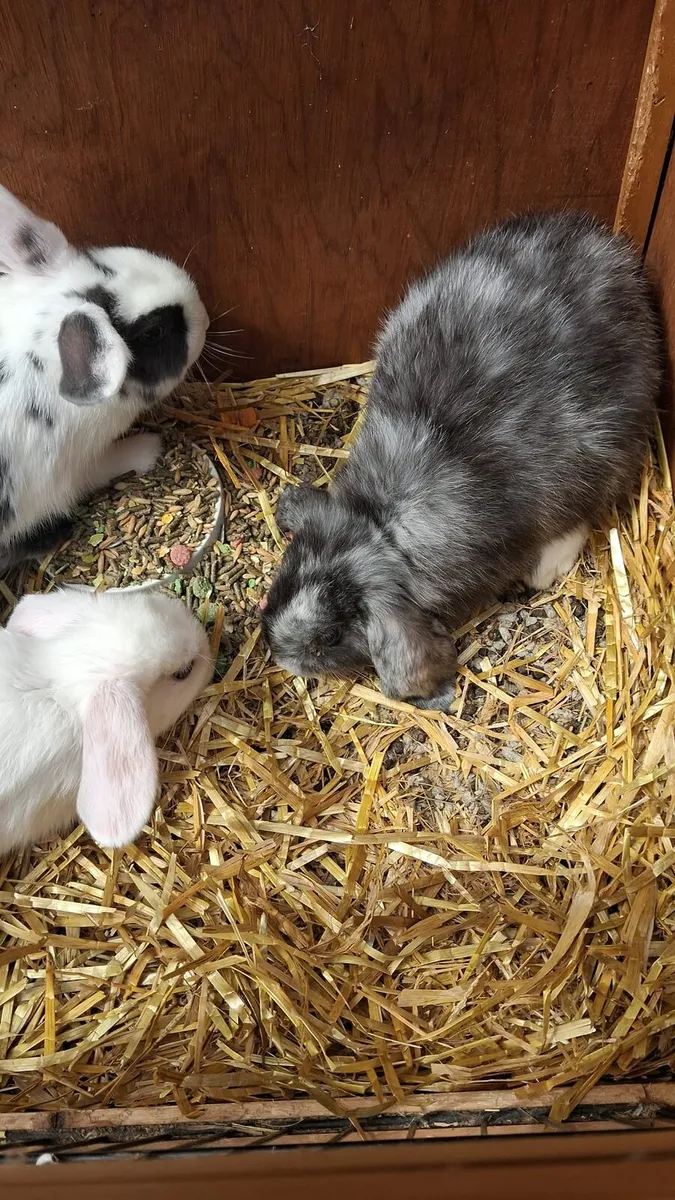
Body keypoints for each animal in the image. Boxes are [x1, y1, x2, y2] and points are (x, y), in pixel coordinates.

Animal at [262, 211, 662, 711]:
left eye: (330, 637)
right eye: (287, 575)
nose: (279, 653)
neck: (382, 527)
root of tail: (615, 257)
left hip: (606, 447)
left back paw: (546, 568)